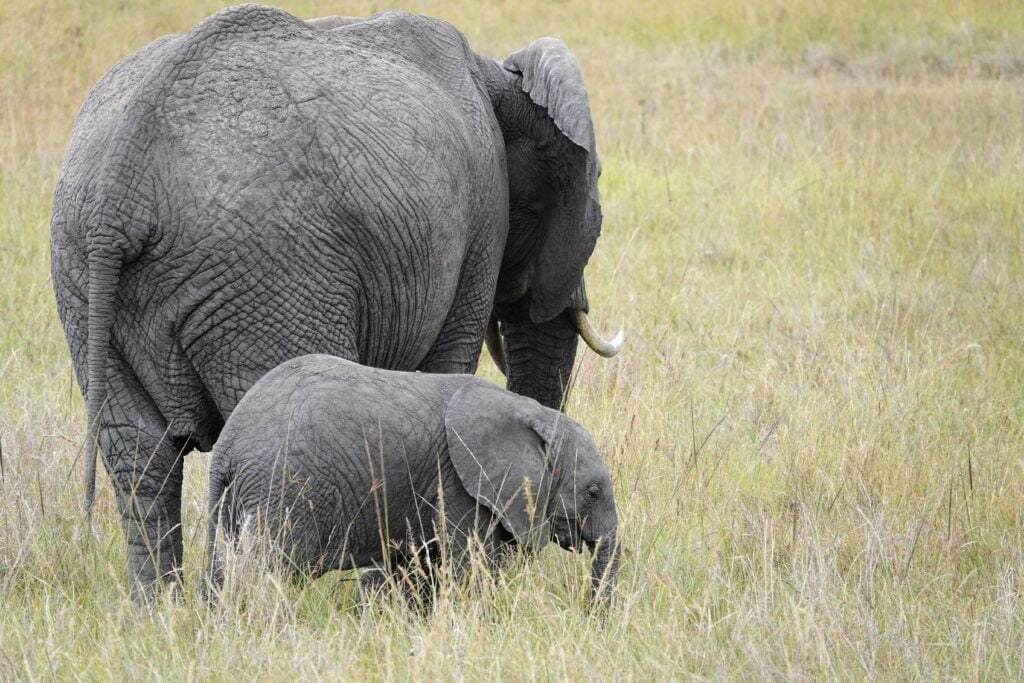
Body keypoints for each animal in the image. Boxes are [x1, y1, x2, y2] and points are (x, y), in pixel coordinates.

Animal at [204, 356, 618, 606]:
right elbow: (471, 568)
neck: (529, 410)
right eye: (592, 493)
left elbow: (413, 567)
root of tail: (228, 447)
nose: (590, 616)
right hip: (283, 492)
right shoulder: (456, 483)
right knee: (266, 570)